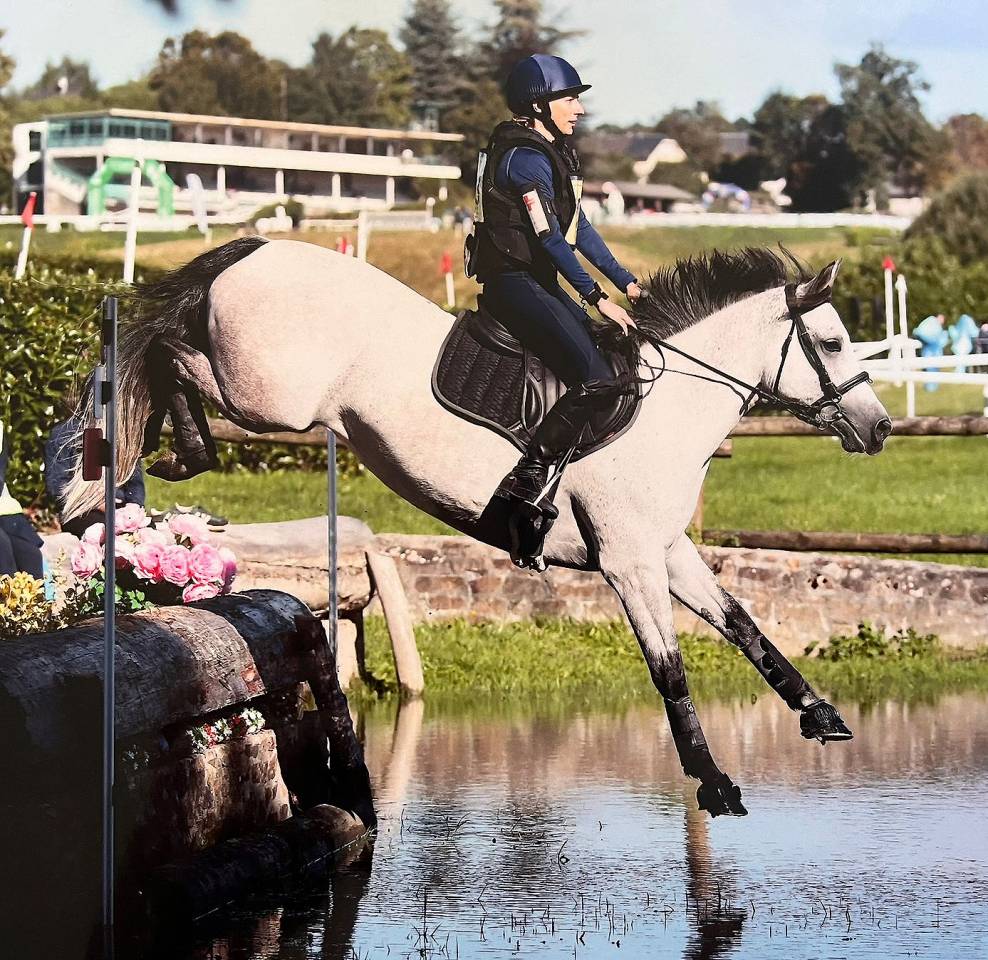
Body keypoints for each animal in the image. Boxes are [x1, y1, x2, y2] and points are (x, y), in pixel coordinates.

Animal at [63, 237, 892, 817]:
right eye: (833, 344)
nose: (879, 428)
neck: (669, 411)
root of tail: (259, 248)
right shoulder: (628, 562)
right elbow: (670, 668)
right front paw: (714, 782)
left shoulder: (669, 551)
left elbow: (745, 625)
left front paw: (820, 714)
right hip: (270, 398)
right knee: (167, 352)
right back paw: (179, 450)